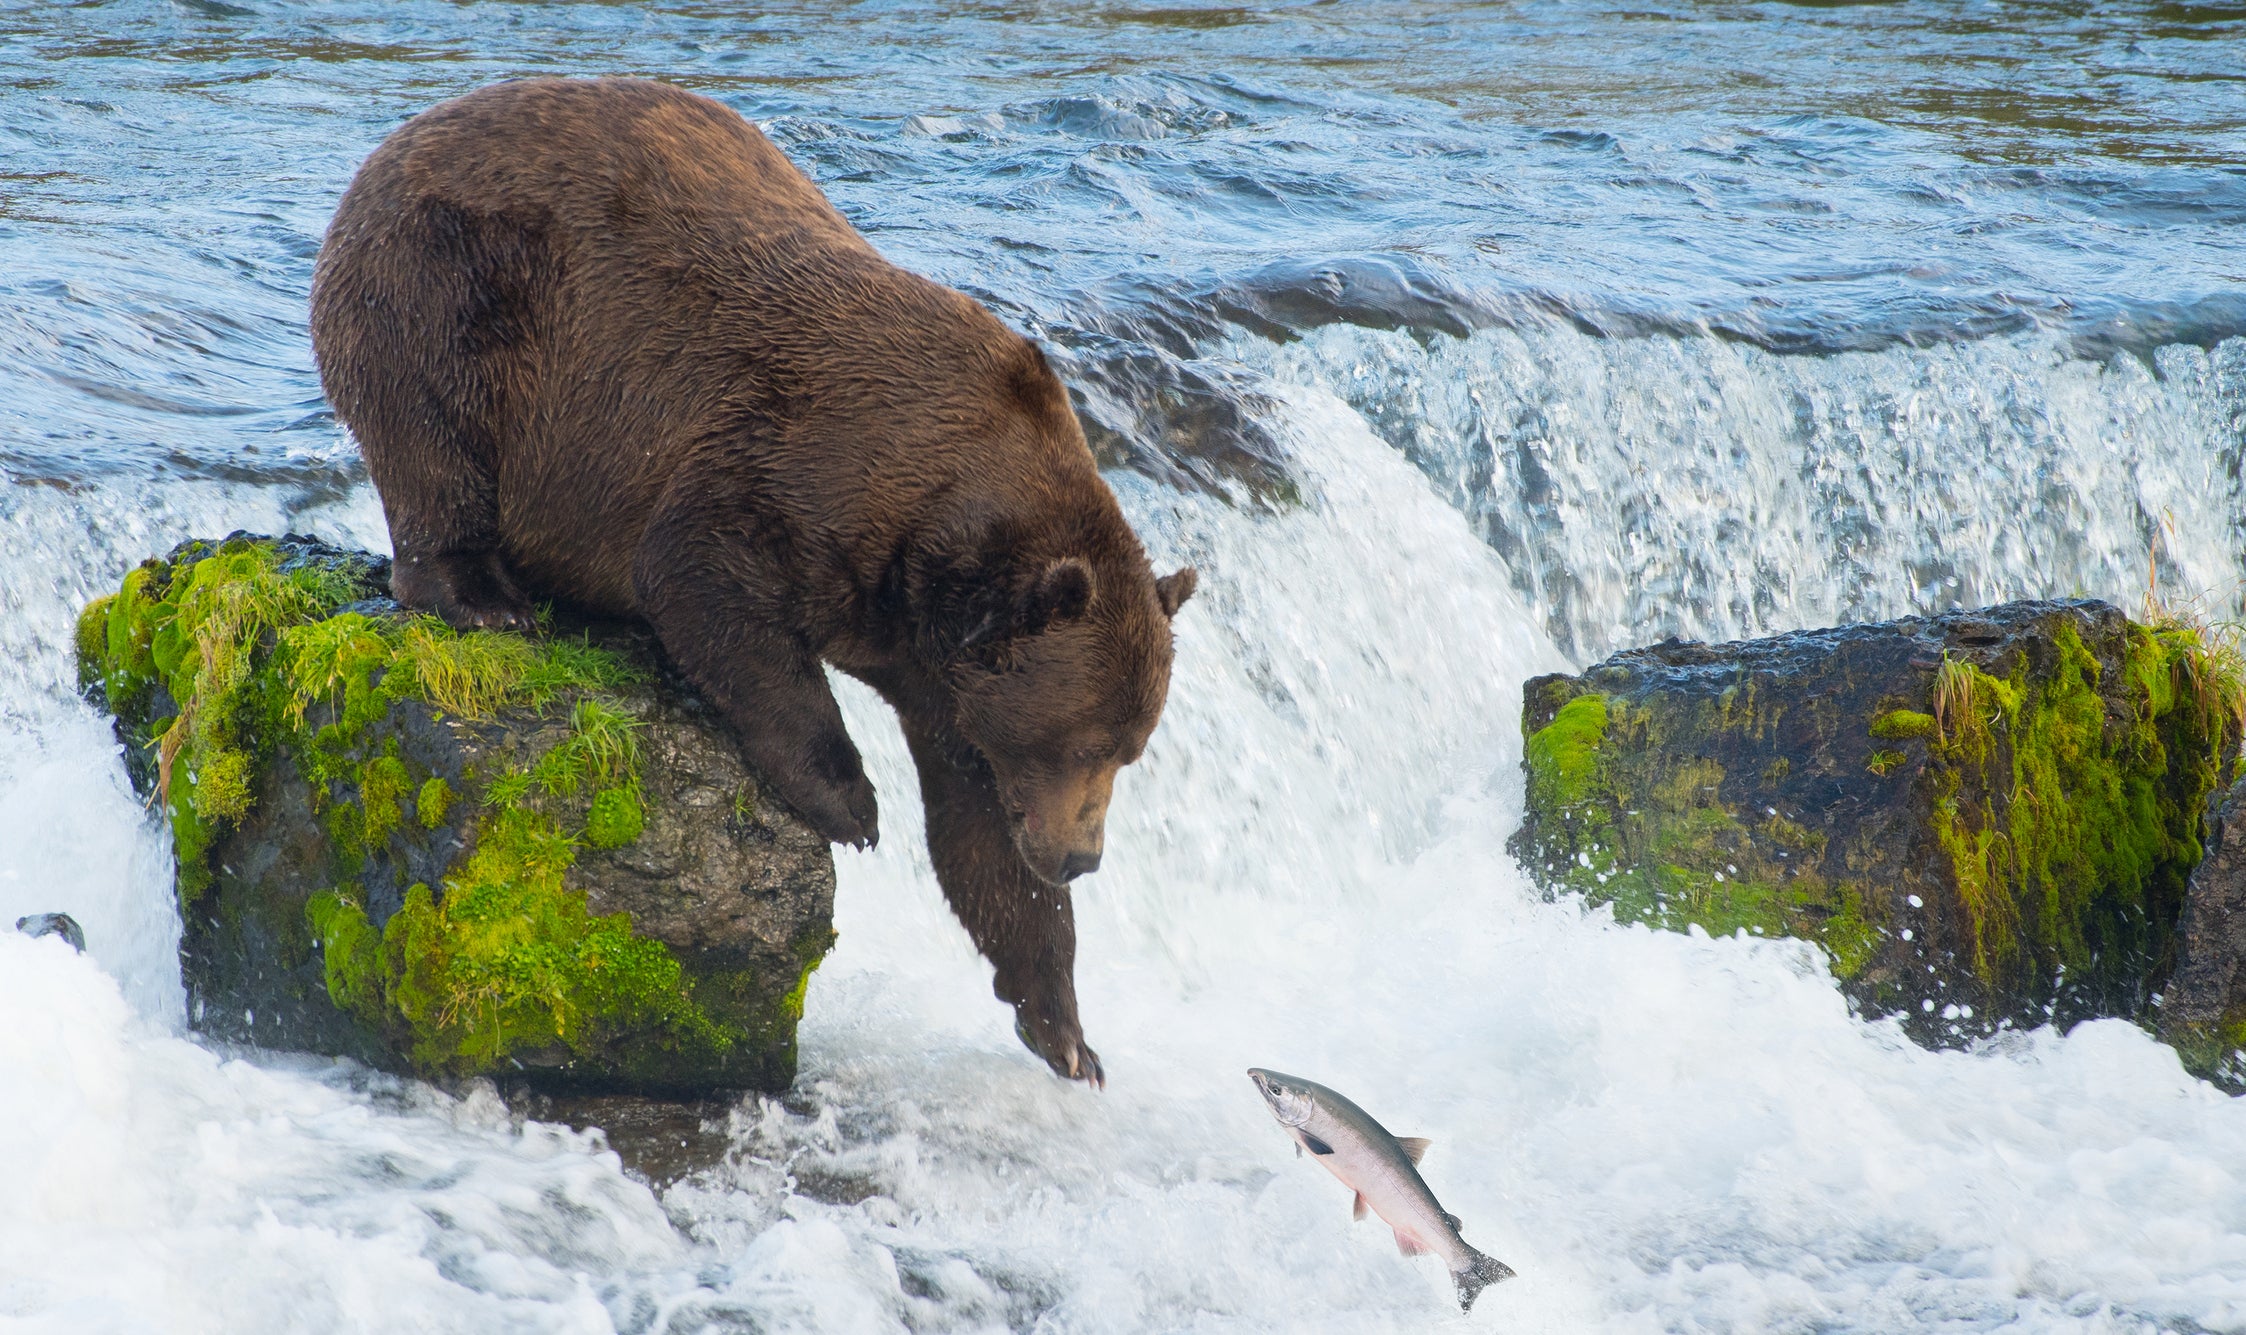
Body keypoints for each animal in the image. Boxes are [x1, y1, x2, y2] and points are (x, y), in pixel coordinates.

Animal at [308, 77, 1195, 1085]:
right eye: (1083, 739)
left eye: (1128, 749)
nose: (1083, 855)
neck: (938, 547)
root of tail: (391, 144)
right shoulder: (801, 462)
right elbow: (708, 581)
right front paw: (850, 799)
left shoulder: (949, 674)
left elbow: (977, 830)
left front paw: (1065, 1028)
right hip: (455, 291)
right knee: (434, 435)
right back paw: (487, 596)